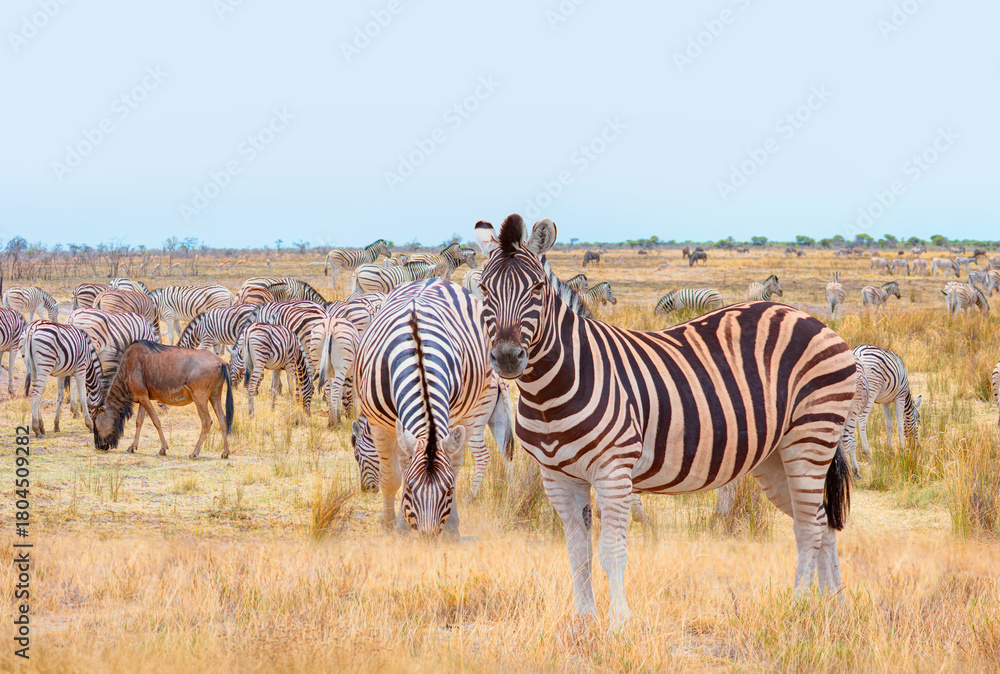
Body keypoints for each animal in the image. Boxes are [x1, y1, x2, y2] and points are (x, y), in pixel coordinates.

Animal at [355, 278, 496, 536]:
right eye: (410, 488)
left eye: (448, 490)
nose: (428, 537)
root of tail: (433, 278)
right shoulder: (379, 424)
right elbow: (391, 477)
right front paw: (391, 524)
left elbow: (452, 468)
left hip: (470, 411)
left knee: (457, 462)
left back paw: (453, 524)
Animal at [474, 215, 855, 624]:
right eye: (483, 289)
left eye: (537, 288)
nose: (507, 357)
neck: (554, 388)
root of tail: (806, 316)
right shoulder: (557, 476)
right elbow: (577, 553)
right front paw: (584, 623)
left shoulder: (613, 470)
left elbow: (611, 552)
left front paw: (618, 625)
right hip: (775, 457)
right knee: (821, 521)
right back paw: (833, 608)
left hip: (811, 435)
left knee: (809, 527)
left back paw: (799, 606)